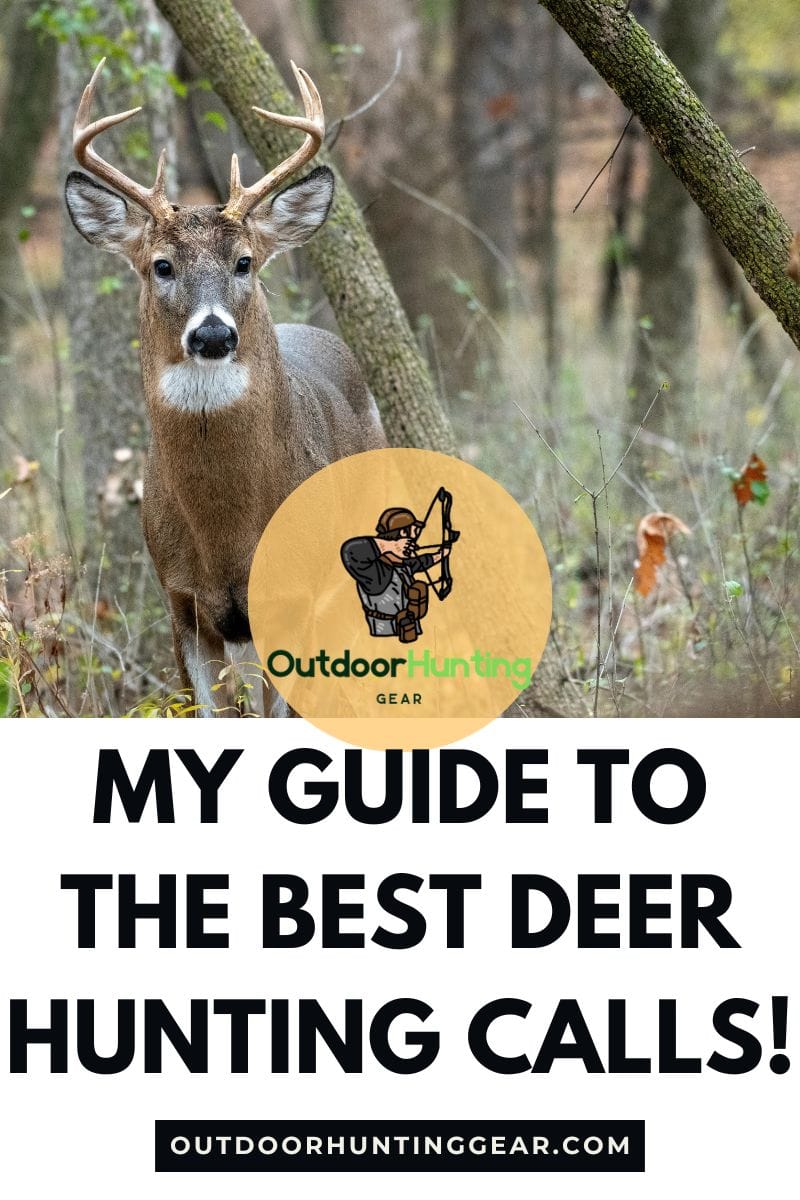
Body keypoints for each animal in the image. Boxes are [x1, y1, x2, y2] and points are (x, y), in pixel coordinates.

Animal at [65, 59, 386, 715]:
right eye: (161, 265)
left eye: (244, 261)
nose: (212, 333)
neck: (228, 536)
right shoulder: (180, 600)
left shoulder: (294, 598)